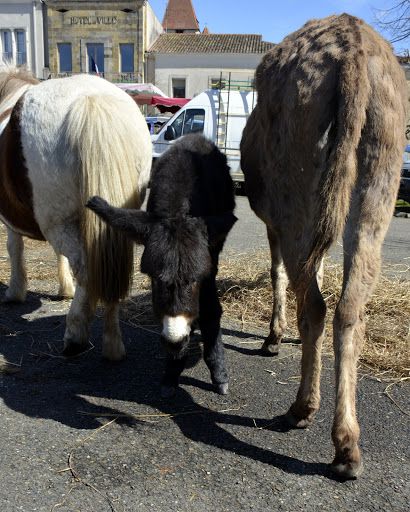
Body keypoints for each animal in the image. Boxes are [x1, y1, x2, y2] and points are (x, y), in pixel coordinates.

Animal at [0, 66, 152, 358]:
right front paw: (65, 288)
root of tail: (91, 99)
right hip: (117, 220)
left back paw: (75, 334)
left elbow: (14, 248)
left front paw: (15, 291)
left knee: (86, 268)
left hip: (58, 222)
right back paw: (112, 344)